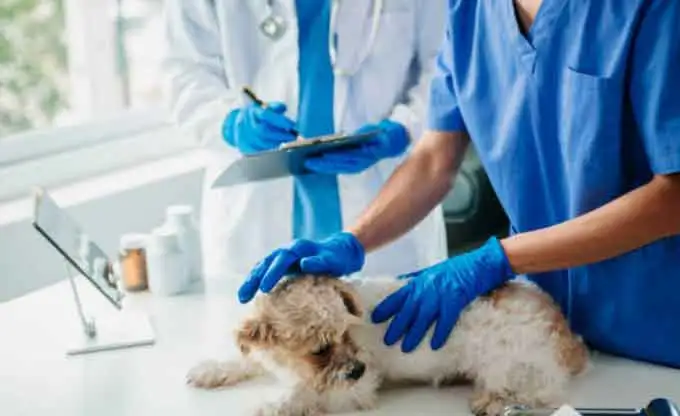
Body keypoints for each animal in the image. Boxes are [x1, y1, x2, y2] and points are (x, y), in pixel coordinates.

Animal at [187, 274, 588, 414]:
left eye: (346, 334)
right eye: (319, 350)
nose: (357, 368)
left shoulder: (355, 389)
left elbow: (302, 392)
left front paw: (269, 404)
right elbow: (246, 359)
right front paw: (212, 369)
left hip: (505, 360)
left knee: (542, 391)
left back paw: (492, 400)